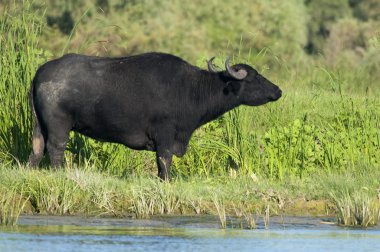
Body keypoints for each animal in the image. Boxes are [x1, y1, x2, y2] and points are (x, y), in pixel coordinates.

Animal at [28, 52, 280, 180]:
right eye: (254, 77)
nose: (278, 90)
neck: (191, 89)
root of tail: (40, 72)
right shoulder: (165, 135)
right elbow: (164, 162)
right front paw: (166, 180)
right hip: (59, 126)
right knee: (56, 149)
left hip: (39, 126)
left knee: (37, 149)